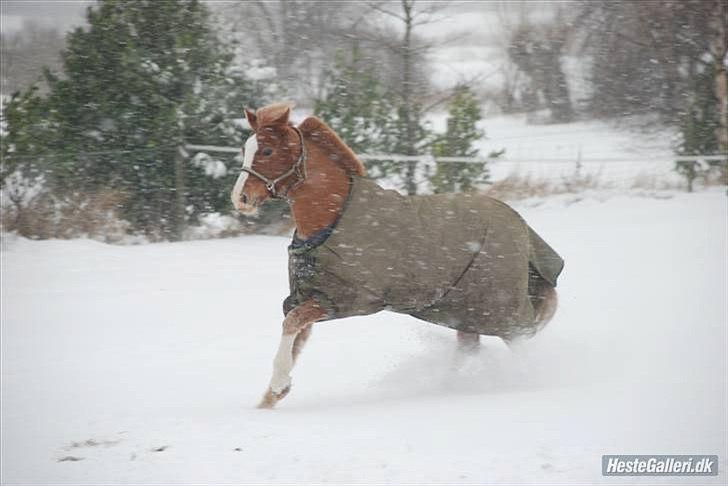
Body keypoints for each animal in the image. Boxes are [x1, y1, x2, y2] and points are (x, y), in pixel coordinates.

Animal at [229, 103, 564, 410]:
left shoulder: (341, 300)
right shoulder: (306, 296)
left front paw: (278, 387)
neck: (331, 218)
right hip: (463, 310)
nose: (240, 199)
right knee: (470, 346)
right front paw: (270, 398)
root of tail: (519, 223)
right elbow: (294, 336)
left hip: (498, 308)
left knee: (518, 344)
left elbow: (292, 325)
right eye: (245, 148)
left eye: (268, 150)